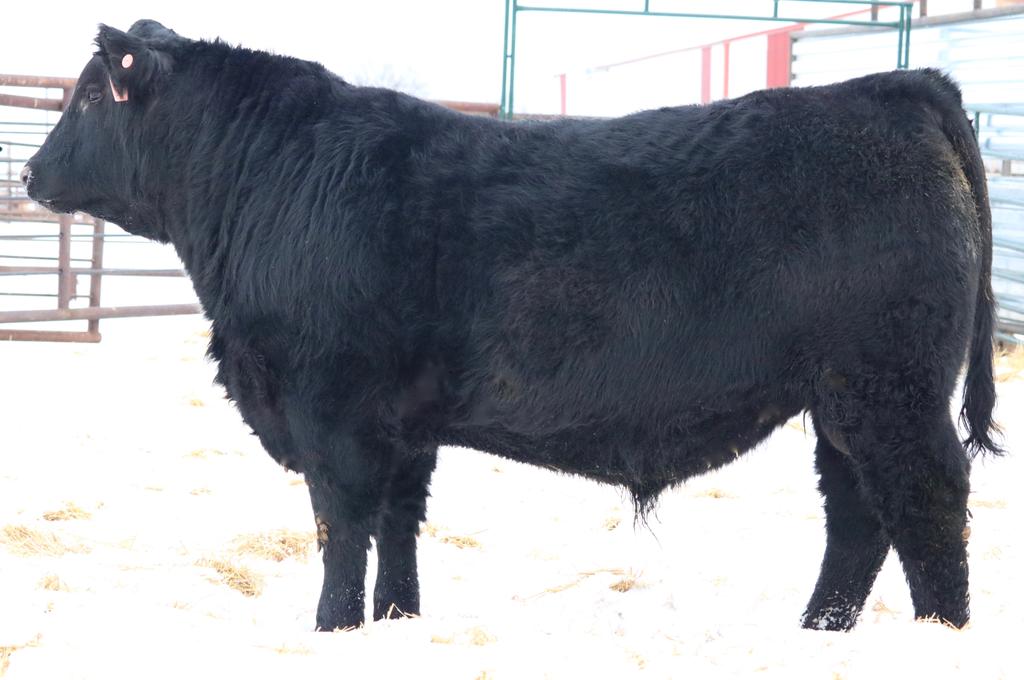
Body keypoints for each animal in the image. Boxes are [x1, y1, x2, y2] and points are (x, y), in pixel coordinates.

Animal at [22, 20, 1000, 633]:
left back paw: (938, 640)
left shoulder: (333, 412)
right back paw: (816, 634)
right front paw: (398, 623)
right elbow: (398, 525)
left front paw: (332, 632)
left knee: (926, 502)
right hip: (842, 401)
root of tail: (894, 86)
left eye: (90, 99)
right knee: (858, 519)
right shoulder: (403, 425)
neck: (270, 176)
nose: (28, 172)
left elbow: (342, 531)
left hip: (891, 390)